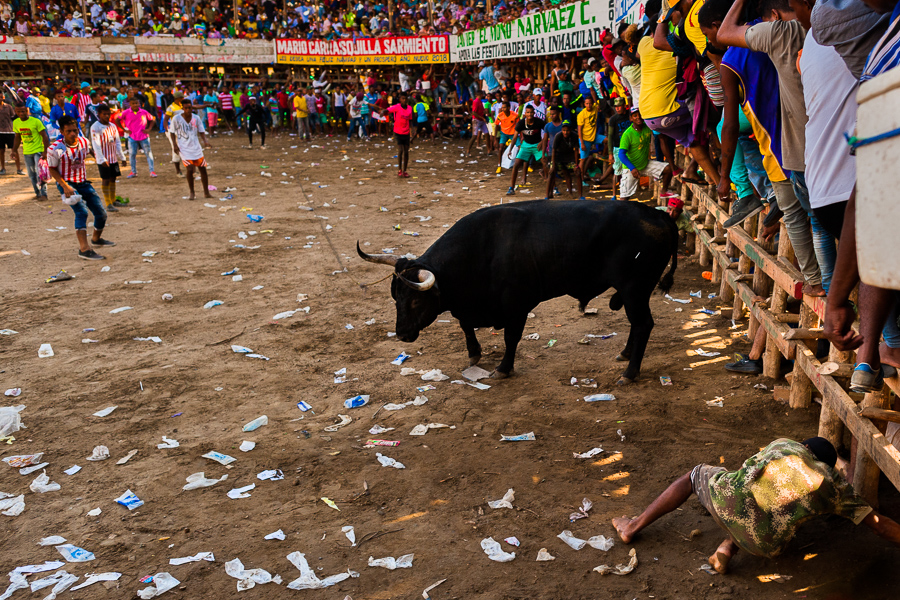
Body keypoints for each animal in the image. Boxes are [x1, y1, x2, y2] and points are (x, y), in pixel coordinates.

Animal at [356, 199, 676, 382]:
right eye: (395, 297)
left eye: (414, 300)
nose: (401, 334)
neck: (482, 250)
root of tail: (657, 215)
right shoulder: (468, 305)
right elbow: (465, 325)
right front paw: (474, 353)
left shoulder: (517, 305)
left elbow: (511, 337)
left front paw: (503, 368)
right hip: (636, 292)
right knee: (637, 324)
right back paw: (625, 354)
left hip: (635, 289)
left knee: (643, 324)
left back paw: (630, 373)